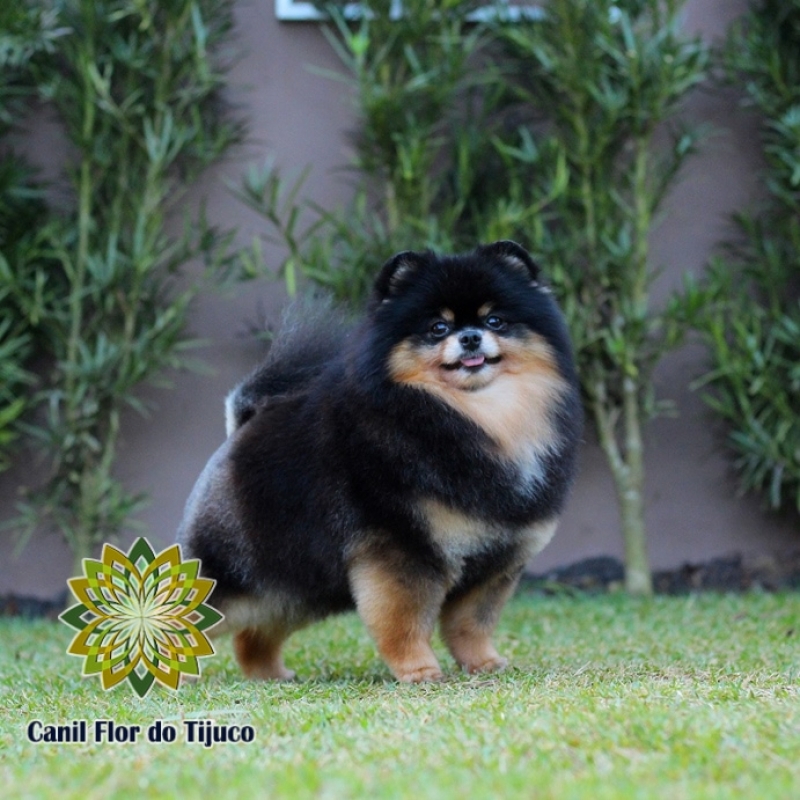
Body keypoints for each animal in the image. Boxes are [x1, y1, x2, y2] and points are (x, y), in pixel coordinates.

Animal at [178, 239, 580, 680]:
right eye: (437, 328)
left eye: (496, 321)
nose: (471, 337)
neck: (479, 415)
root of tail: (240, 428)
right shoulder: (402, 549)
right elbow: (404, 621)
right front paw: (420, 672)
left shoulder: (495, 560)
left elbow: (472, 623)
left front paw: (484, 664)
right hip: (231, 574)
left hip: (298, 589)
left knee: (254, 633)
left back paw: (270, 677)